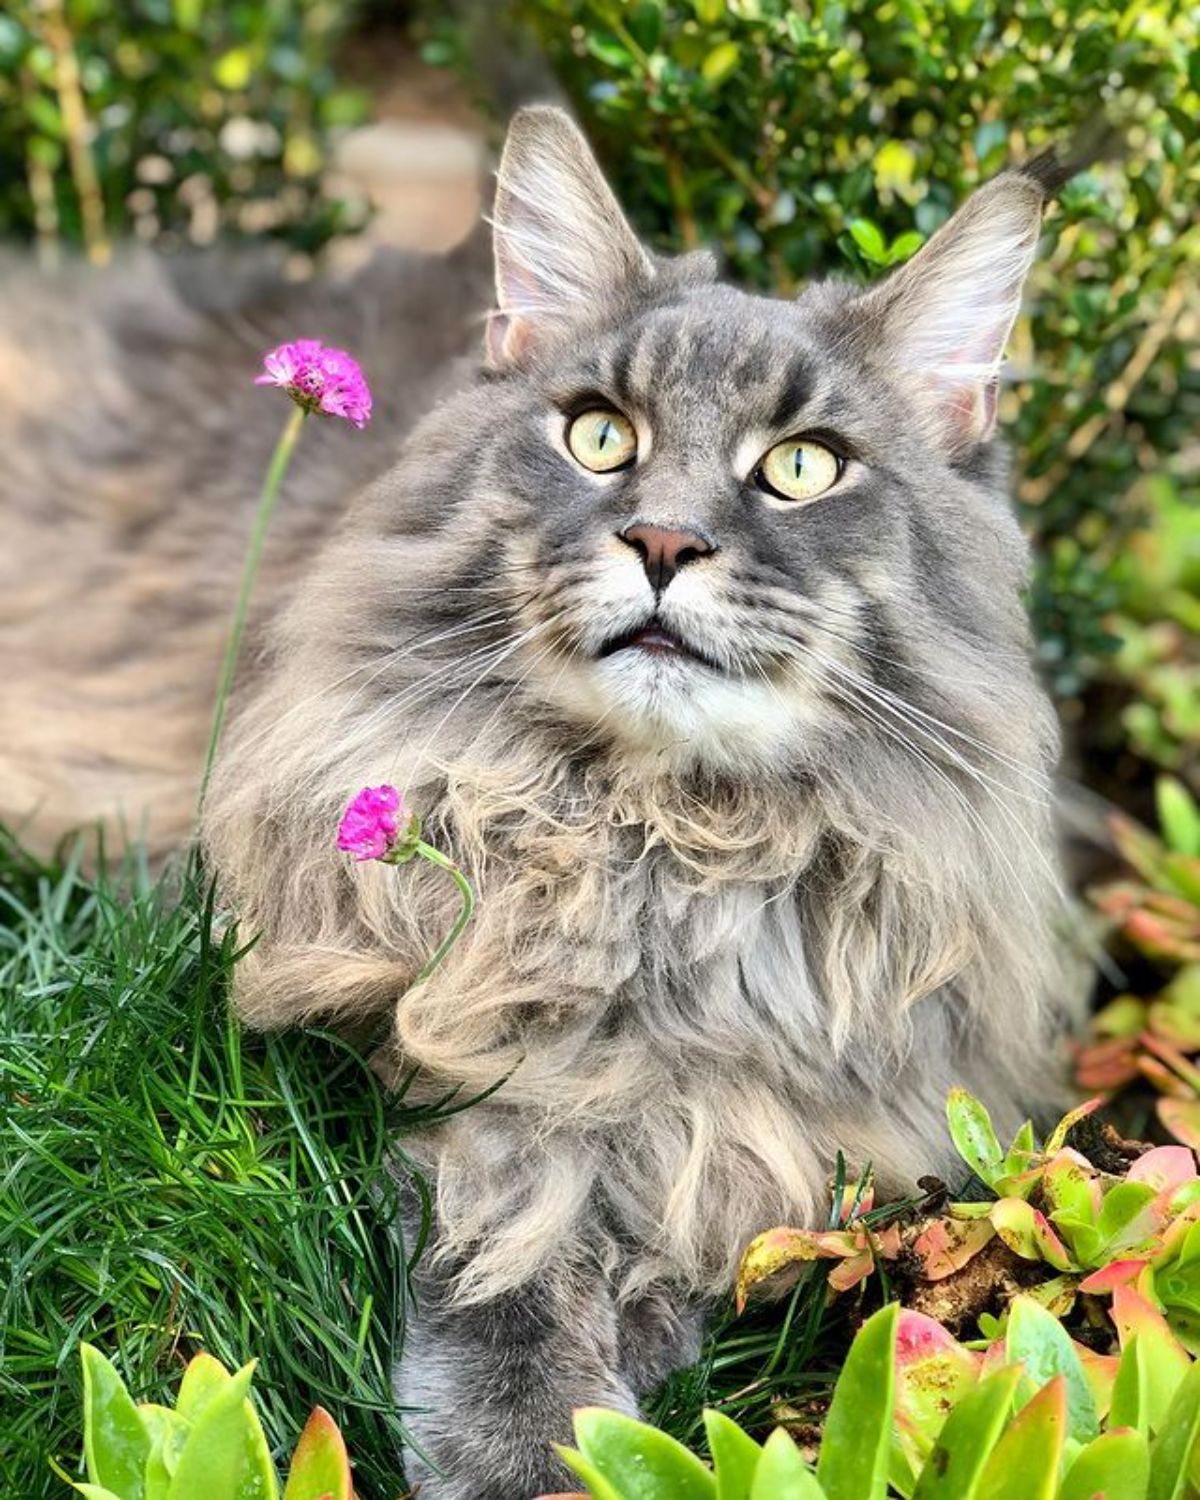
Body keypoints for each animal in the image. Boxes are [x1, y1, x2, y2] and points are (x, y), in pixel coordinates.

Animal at [0, 108, 1080, 1500]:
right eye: (600, 436)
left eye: (802, 467)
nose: (665, 543)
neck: (661, 848)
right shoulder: (439, 1055)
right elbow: (517, 1237)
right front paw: (542, 1446)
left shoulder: (838, 1112)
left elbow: (707, 1187)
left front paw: (648, 1326)